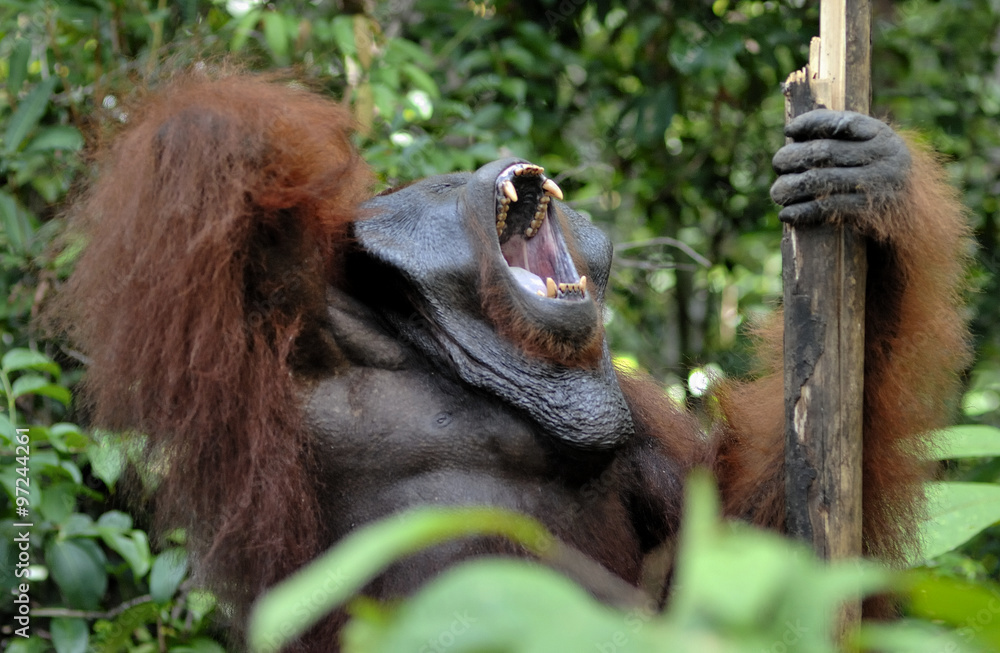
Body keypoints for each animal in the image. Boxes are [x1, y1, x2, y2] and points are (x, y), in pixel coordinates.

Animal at [50, 72, 971, 650]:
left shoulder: (628, 408)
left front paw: (871, 188)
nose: (484, 166)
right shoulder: (292, 353)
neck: (454, 358)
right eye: (439, 184)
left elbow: (746, 556)